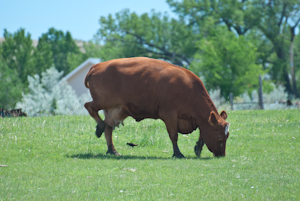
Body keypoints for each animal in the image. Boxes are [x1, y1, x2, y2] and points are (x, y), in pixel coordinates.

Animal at [84, 57, 230, 158]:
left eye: (227, 136)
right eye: (220, 137)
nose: (222, 155)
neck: (188, 89)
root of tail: (96, 66)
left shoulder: (198, 119)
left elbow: (202, 131)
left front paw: (198, 147)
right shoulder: (169, 115)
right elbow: (174, 135)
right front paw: (178, 153)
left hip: (116, 110)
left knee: (108, 128)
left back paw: (112, 150)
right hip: (103, 102)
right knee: (90, 107)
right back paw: (100, 127)